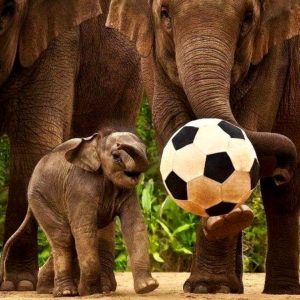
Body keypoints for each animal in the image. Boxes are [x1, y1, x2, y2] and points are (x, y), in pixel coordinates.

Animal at [1, 130, 158, 296]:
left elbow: (134, 225)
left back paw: (48, 289)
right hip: (40, 199)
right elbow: (84, 229)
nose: (120, 144)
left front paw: (148, 287)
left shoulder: (127, 190)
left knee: (67, 240)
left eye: (145, 150)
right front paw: (91, 292)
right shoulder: (81, 186)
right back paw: (66, 292)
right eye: (115, 156)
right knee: (64, 238)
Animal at [106, 0, 300, 296]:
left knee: (283, 197)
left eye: (248, 18)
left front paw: (210, 285)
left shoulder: (275, 56)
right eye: (164, 14)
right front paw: (208, 284)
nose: (283, 168)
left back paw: (280, 290)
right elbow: (173, 121)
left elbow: (248, 122)